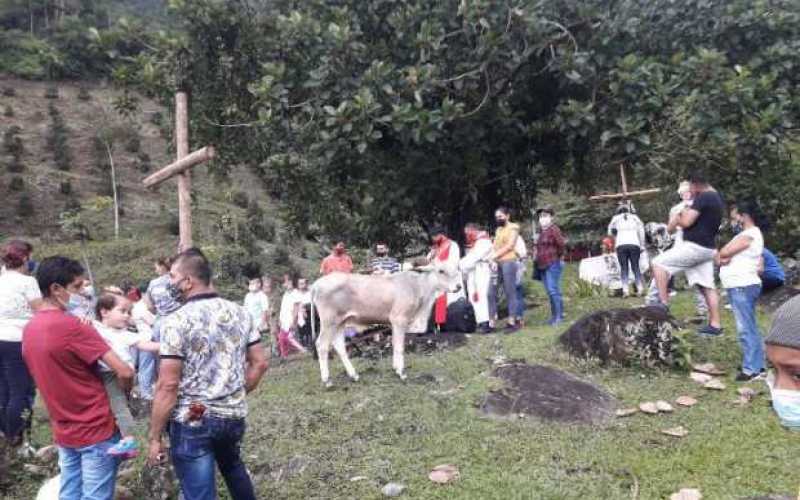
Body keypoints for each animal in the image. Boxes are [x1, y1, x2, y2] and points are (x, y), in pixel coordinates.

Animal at [312, 266, 462, 386]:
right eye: (441, 270)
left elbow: (395, 344)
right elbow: (400, 346)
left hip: (340, 322)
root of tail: (316, 284)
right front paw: (401, 373)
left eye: (456, 269)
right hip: (329, 321)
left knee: (339, 345)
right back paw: (327, 381)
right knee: (322, 345)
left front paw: (396, 368)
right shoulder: (399, 319)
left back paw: (354, 375)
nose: (459, 286)